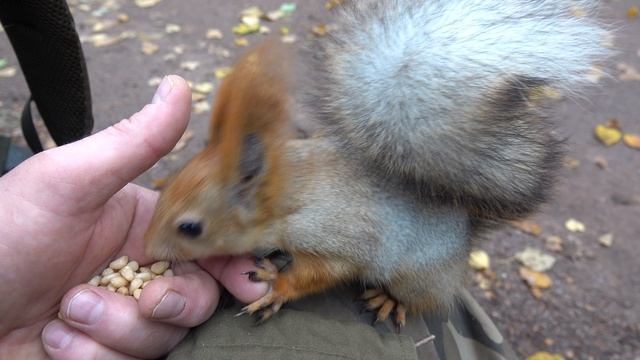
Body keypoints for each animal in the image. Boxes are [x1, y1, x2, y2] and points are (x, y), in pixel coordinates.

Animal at [145, 0, 608, 326]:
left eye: (191, 228)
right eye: (167, 187)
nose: (146, 249)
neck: (285, 194)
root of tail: (465, 234)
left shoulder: (337, 237)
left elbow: (323, 272)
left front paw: (277, 285)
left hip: (419, 275)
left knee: (425, 300)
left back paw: (390, 300)